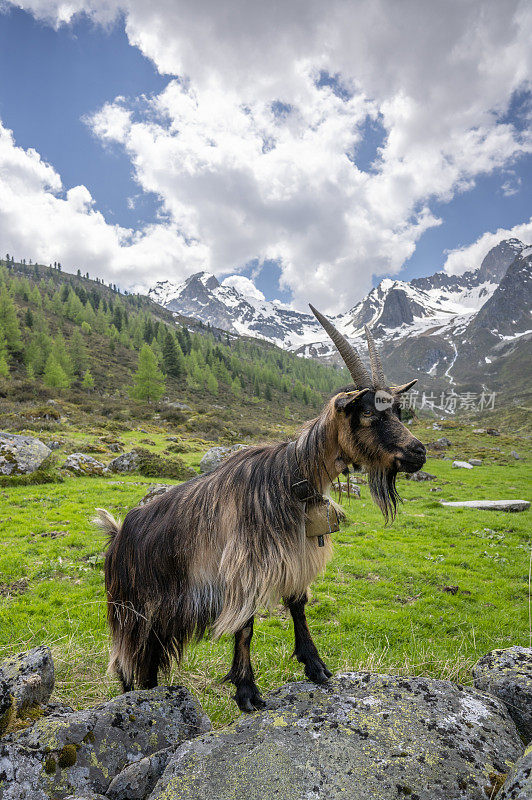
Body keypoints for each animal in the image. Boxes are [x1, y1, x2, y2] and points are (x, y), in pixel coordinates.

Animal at [97, 310, 426, 712]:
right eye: (366, 412)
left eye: (397, 411)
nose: (418, 452)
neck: (289, 479)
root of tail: (118, 535)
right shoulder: (245, 567)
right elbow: (246, 627)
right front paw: (247, 691)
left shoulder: (295, 553)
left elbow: (298, 604)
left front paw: (315, 666)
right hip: (131, 612)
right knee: (127, 663)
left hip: (160, 617)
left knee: (148, 661)